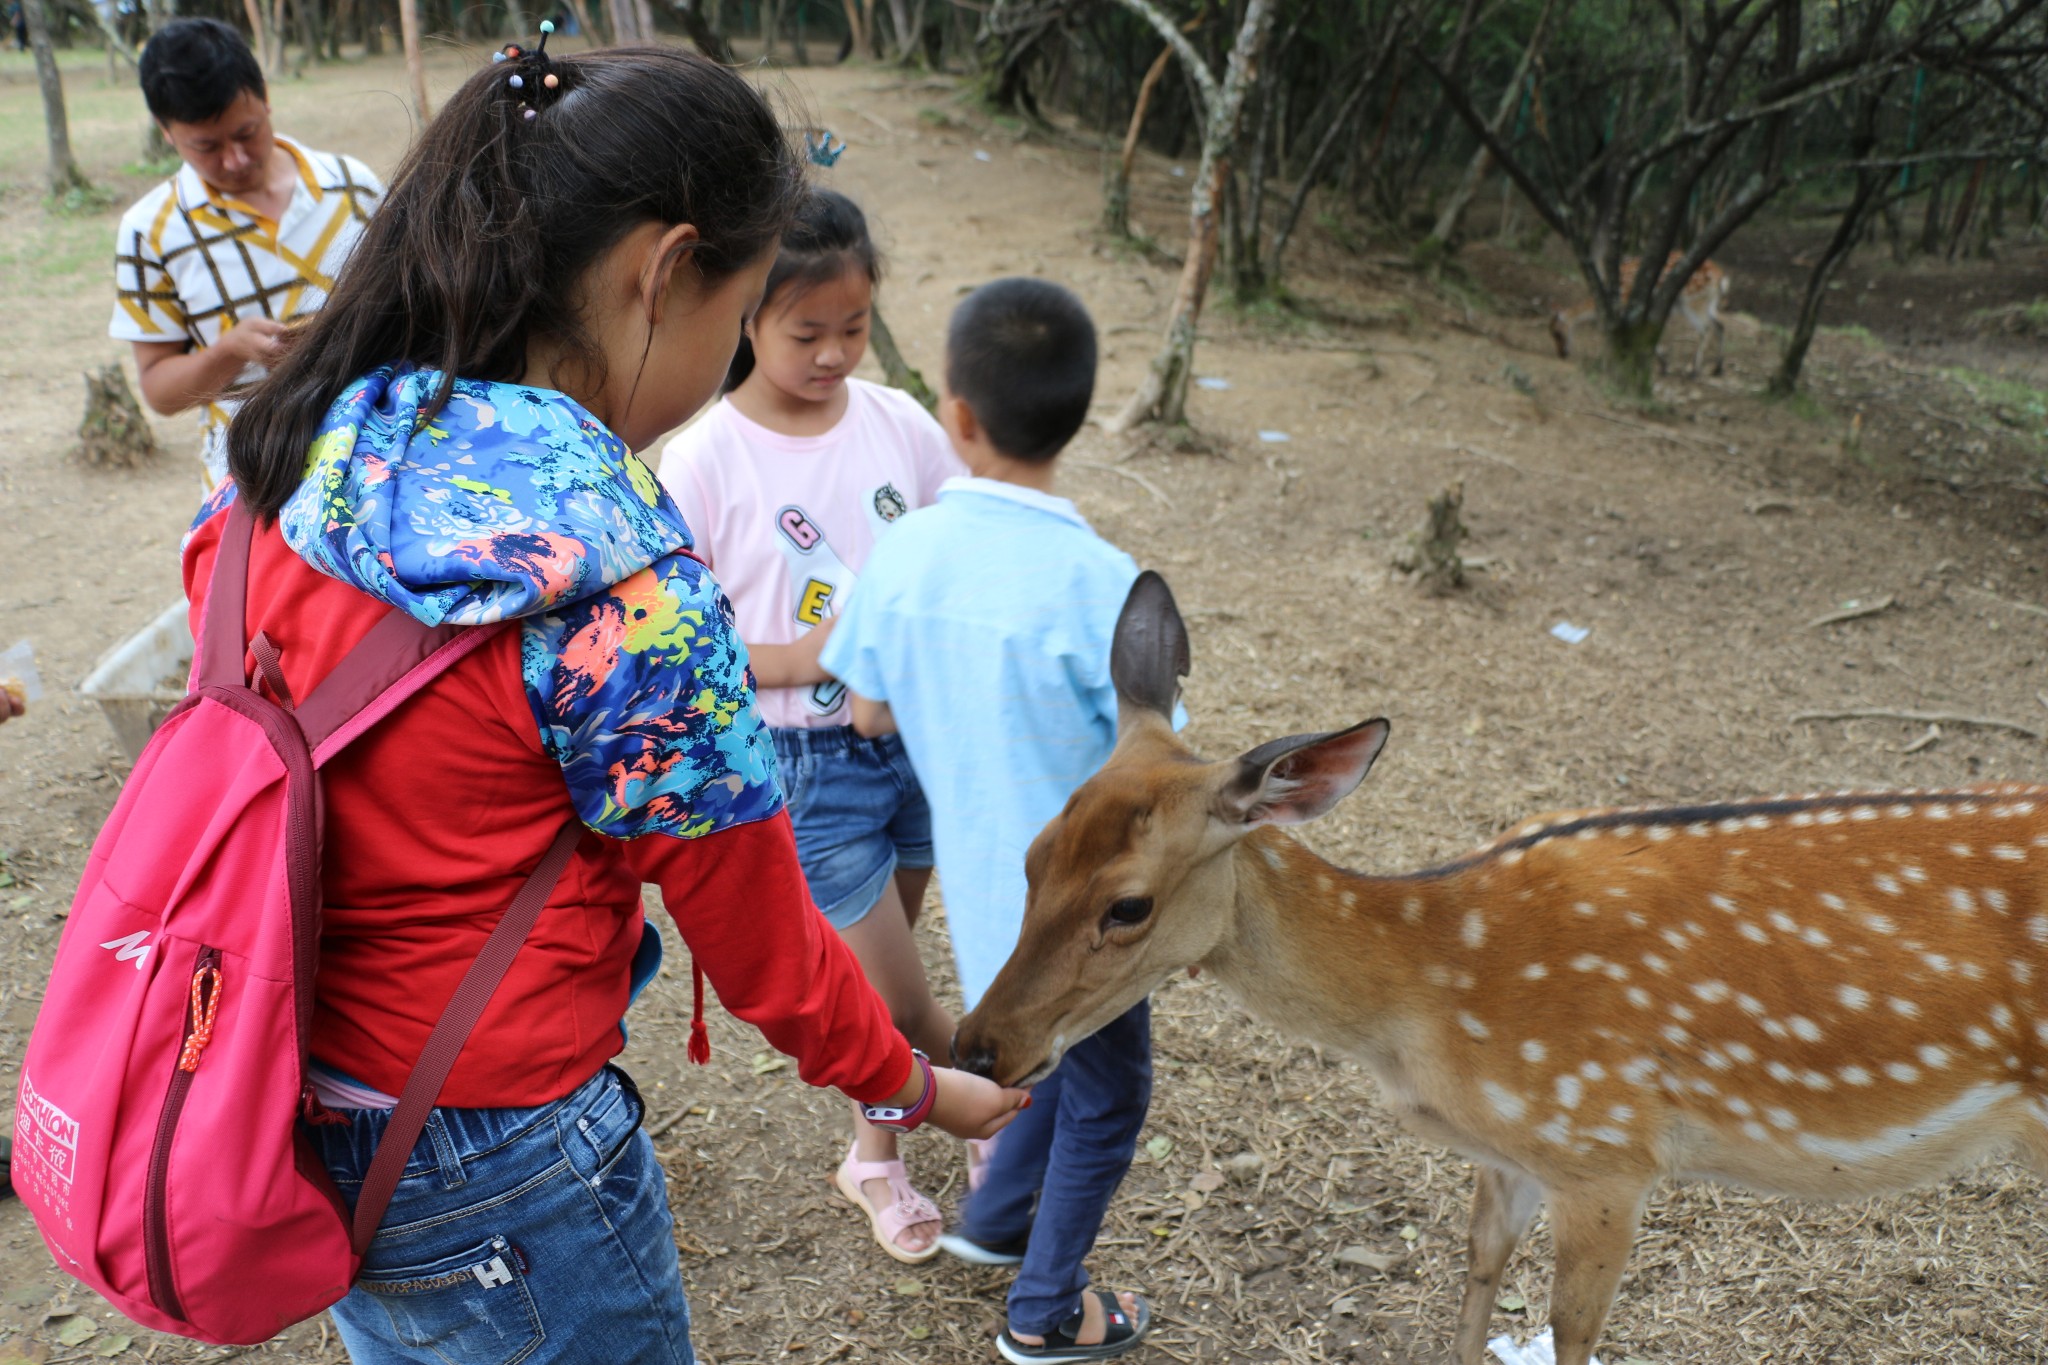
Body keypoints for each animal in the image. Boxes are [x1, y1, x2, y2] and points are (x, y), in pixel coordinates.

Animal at [954, 573, 2048, 1365]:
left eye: (1127, 905)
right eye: (1032, 854)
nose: (977, 1045)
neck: (1424, 1003)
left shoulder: (1604, 1145)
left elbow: (1571, 1331)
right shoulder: (1512, 1149)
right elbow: (1477, 1269)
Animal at [1548, 252, 1728, 376]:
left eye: (1556, 332)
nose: (1561, 354)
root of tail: (1721, 278)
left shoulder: (1628, 305)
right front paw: (1664, 366)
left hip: (1693, 301)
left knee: (1705, 329)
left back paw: (1694, 371)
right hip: (1708, 302)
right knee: (1720, 324)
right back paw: (1717, 368)